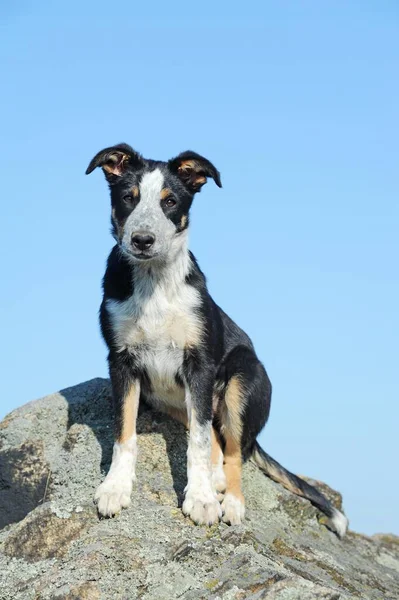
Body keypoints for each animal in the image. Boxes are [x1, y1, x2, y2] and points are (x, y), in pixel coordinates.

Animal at [86, 143, 348, 536]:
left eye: (170, 201)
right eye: (128, 198)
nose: (142, 240)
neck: (154, 284)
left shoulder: (200, 365)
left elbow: (196, 443)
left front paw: (201, 500)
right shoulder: (122, 362)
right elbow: (124, 433)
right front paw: (115, 488)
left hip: (242, 377)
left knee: (235, 451)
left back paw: (232, 501)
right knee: (216, 440)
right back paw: (216, 479)